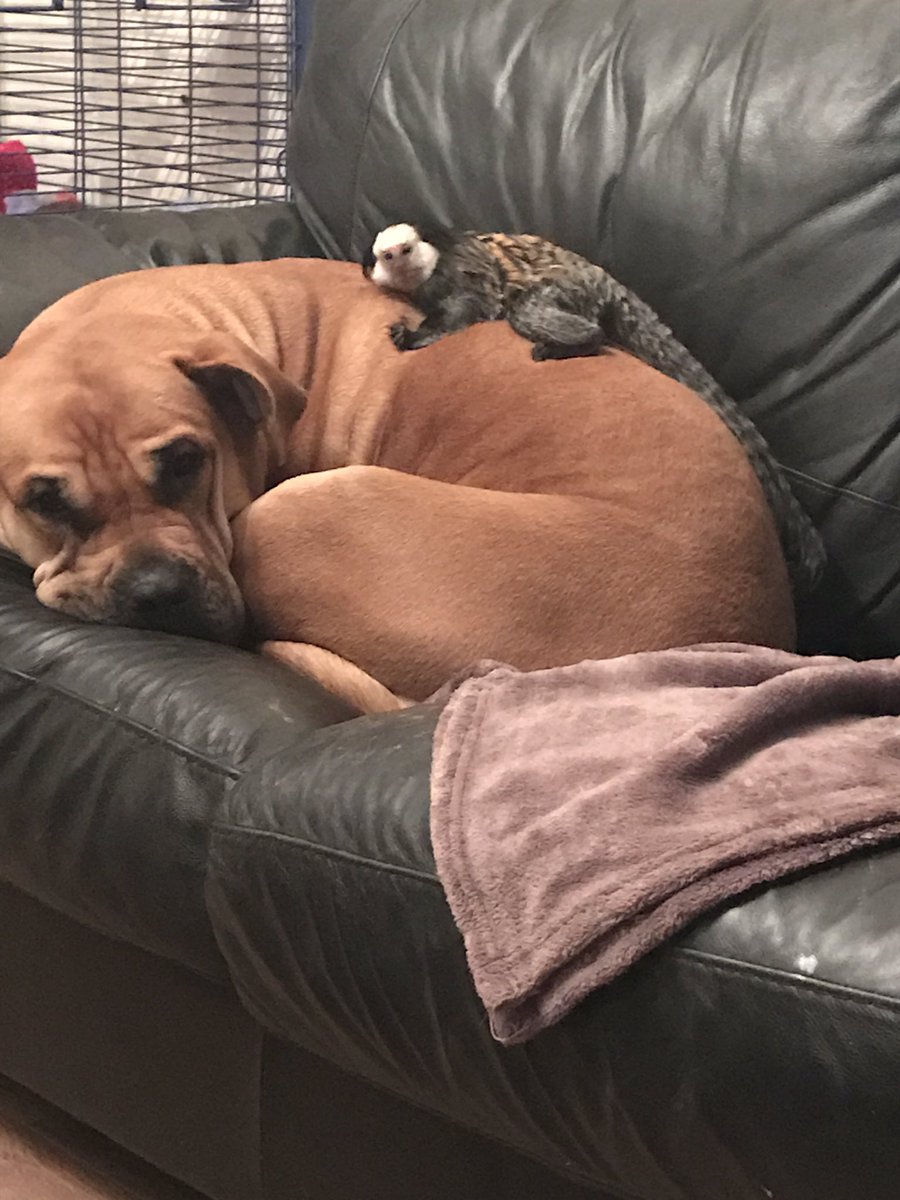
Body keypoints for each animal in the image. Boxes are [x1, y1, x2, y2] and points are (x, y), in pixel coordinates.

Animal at [362, 222, 826, 597]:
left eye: (405, 250)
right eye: (387, 256)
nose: (398, 259)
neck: (429, 265)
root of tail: (605, 280)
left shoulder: (457, 272)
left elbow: (471, 305)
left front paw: (415, 336)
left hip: (563, 290)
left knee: (532, 310)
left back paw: (574, 342)